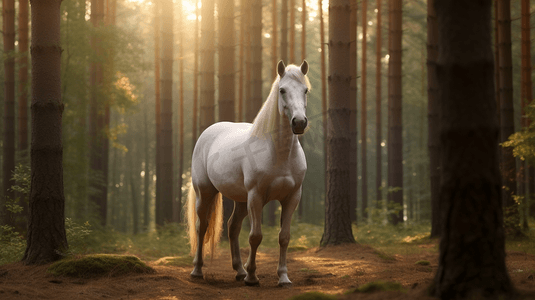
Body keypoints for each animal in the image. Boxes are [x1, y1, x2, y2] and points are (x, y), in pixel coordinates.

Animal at [186, 60, 310, 286]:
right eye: (282, 90)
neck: (278, 153)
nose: (299, 123)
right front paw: (252, 276)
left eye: (305, 90)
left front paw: (283, 277)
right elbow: (255, 236)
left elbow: (284, 237)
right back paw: (197, 270)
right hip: (205, 193)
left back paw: (239, 270)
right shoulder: (256, 197)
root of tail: (208, 132)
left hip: (241, 201)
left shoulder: (292, 197)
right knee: (202, 227)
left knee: (232, 227)